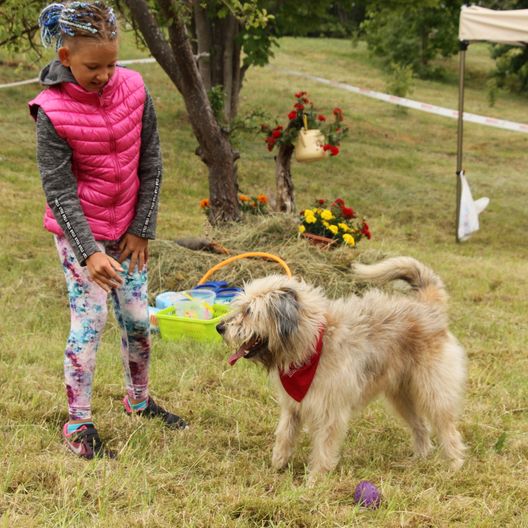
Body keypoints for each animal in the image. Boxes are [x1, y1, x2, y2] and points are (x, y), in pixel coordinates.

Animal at [218, 258, 466, 480]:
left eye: (249, 311)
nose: (220, 327)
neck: (312, 343)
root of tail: (426, 305)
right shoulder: (293, 407)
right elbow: (285, 435)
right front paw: (277, 465)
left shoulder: (330, 411)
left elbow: (323, 448)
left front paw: (314, 481)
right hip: (401, 396)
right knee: (421, 427)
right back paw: (420, 458)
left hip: (433, 392)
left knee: (447, 429)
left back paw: (454, 465)